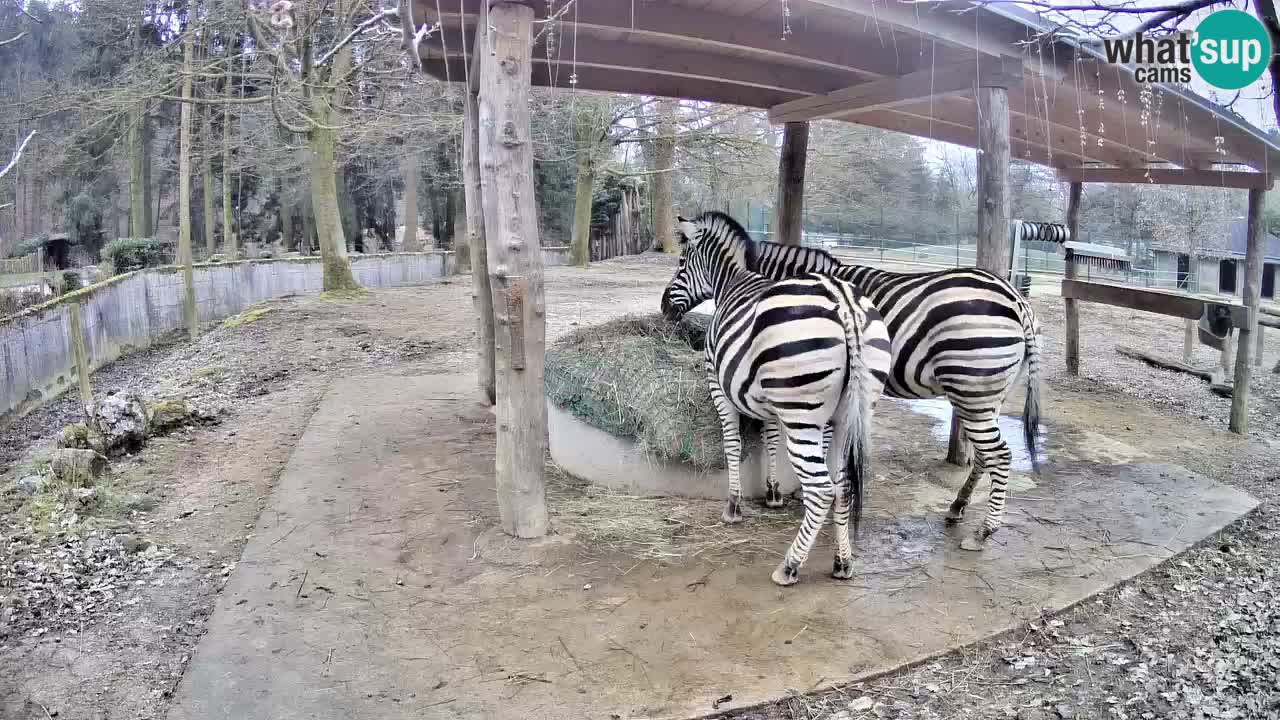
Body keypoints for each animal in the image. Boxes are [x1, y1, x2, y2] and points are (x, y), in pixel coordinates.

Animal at [660, 210, 890, 586]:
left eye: (681, 262)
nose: (664, 307)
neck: (732, 281)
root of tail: (843, 302)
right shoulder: (765, 399)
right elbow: (769, 440)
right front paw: (772, 493)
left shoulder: (719, 385)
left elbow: (732, 444)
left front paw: (734, 506)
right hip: (849, 415)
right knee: (842, 487)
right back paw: (842, 562)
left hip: (801, 416)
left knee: (822, 490)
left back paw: (789, 566)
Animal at [742, 233, 1039, 545]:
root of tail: (1016, 299)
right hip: (990, 394)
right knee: (985, 454)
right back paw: (958, 506)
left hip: (972, 389)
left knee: (999, 455)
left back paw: (985, 529)